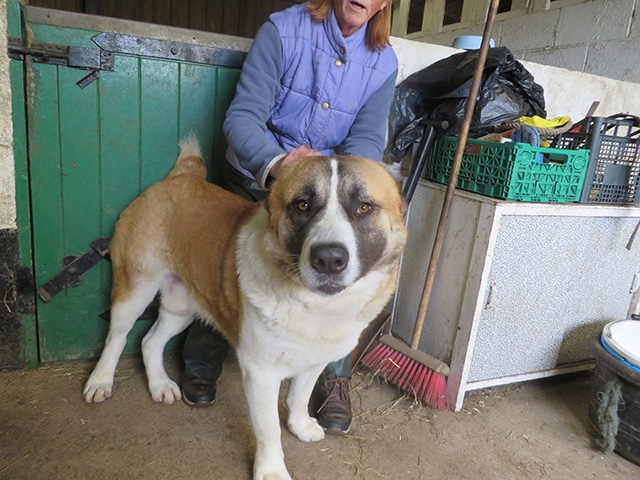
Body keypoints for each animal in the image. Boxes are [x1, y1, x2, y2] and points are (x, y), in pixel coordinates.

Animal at [84, 136, 404, 480]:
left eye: (364, 207)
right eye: (302, 205)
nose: (329, 258)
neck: (314, 305)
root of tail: (182, 177)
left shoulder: (314, 360)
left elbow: (299, 396)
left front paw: (300, 425)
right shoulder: (260, 372)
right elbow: (268, 428)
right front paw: (272, 470)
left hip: (182, 307)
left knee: (149, 341)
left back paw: (159, 385)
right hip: (136, 289)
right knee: (117, 337)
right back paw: (100, 382)